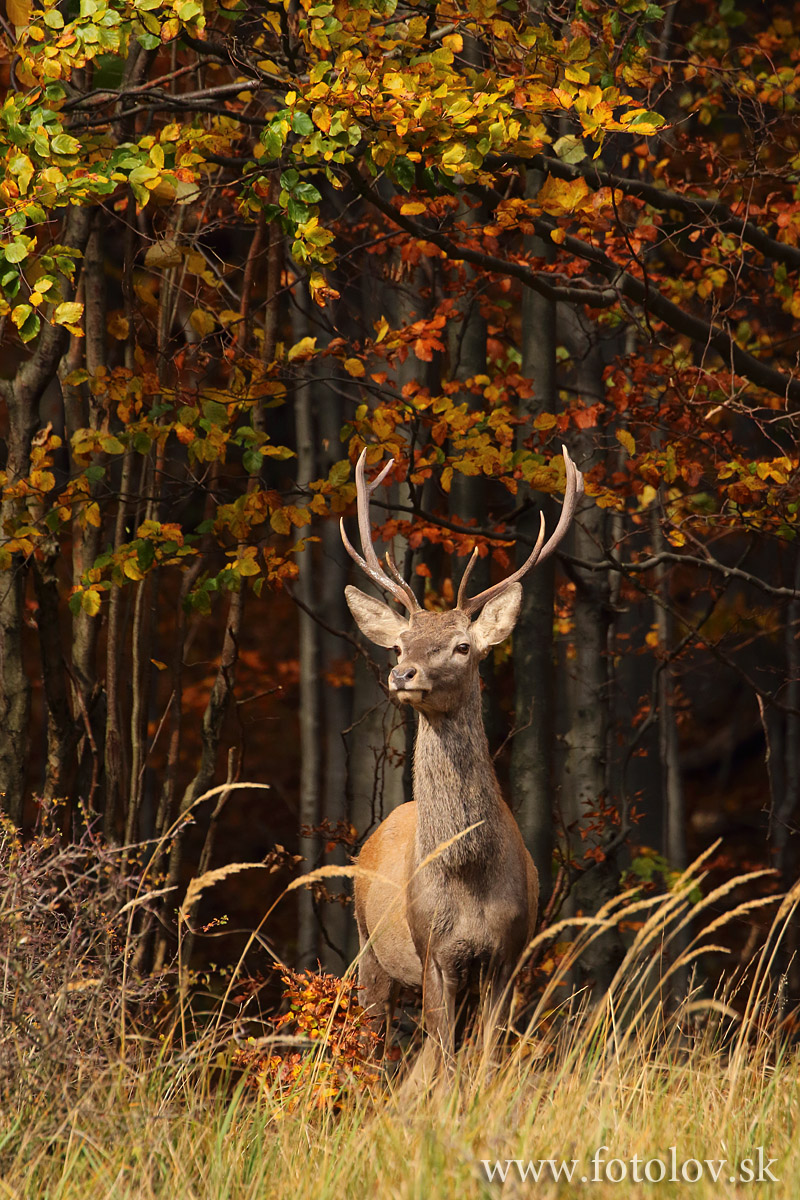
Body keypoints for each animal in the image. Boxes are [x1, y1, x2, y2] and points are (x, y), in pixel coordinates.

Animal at [340, 446, 585, 1075]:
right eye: (398, 644)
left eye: (463, 646)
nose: (403, 674)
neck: (470, 879)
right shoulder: (433, 951)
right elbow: (446, 1062)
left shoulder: (508, 954)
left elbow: (485, 1061)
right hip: (369, 946)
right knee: (380, 1049)